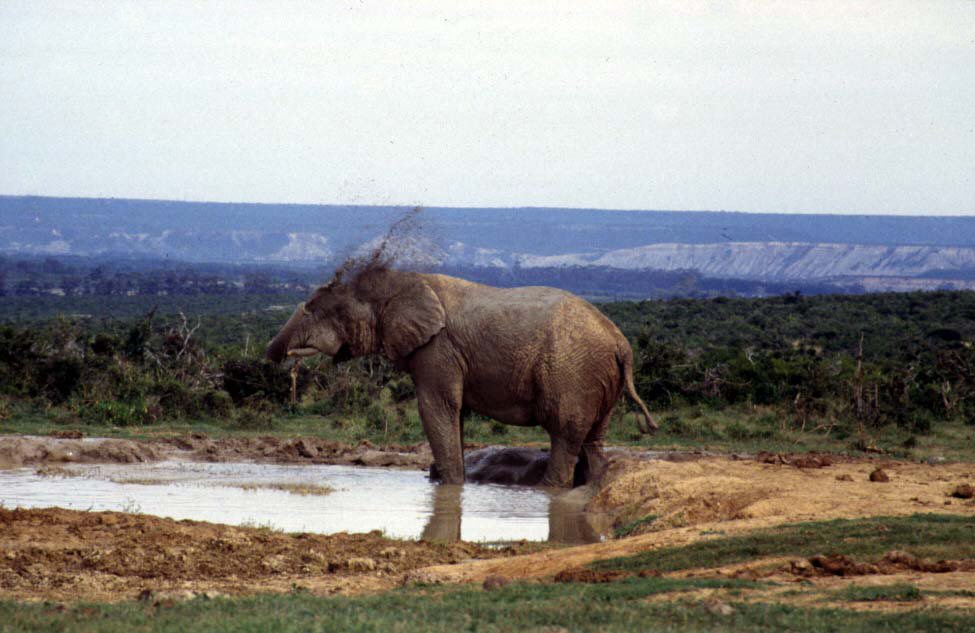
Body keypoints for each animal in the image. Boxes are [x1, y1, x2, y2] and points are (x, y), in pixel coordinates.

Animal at [268, 264, 656, 486]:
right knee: (593, 439)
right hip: (597, 378)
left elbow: (437, 408)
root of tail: (622, 344)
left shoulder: (437, 348)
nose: (274, 354)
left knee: (564, 433)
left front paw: (451, 485)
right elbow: (454, 414)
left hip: (572, 373)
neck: (406, 282)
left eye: (319, 308)